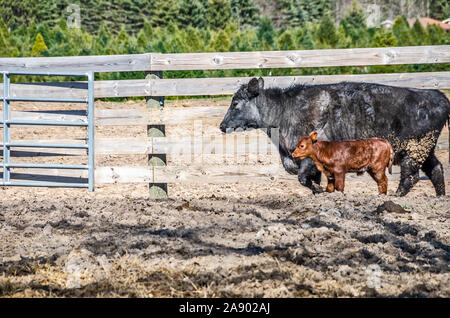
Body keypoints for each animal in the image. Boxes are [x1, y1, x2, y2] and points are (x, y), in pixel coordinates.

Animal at [220, 77, 448, 196]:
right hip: (425, 150)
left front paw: (320, 191)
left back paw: (395, 196)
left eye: (235, 103)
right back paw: (439, 197)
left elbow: (304, 178)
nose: (222, 126)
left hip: (415, 149)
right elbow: (310, 178)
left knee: (411, 175)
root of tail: (438, 96)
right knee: (436, 169)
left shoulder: (310, 158)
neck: (286, 110)